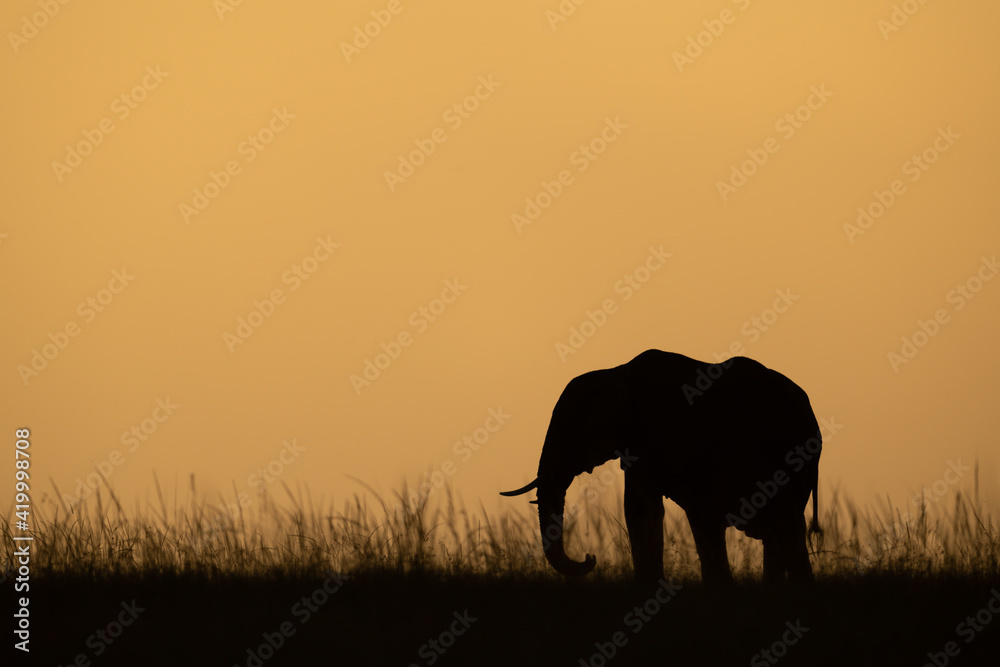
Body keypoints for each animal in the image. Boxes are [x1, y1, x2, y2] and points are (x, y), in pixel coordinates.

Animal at [501, 349, 822, 585]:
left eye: (568, 431)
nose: (590, 557)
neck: (617, 372)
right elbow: (642, 512)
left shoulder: (660, 438)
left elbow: (650, 511)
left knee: (778, 527)